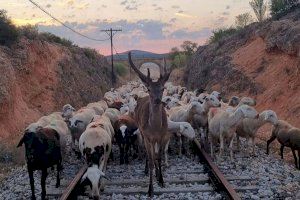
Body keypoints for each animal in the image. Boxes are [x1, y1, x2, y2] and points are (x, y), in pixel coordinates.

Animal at [128, 51, 171, 197]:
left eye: (163, 88)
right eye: (149, 89)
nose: (157, 100)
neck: (155, 128)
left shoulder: (162, 135)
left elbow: (158, 157)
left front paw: (162, 180)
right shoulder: (147, 136)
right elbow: (152, 159)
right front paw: (150, 189)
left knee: (154, 154)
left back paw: (157, 174)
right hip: (142, 133)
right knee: (148, 154)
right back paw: (146, 170)